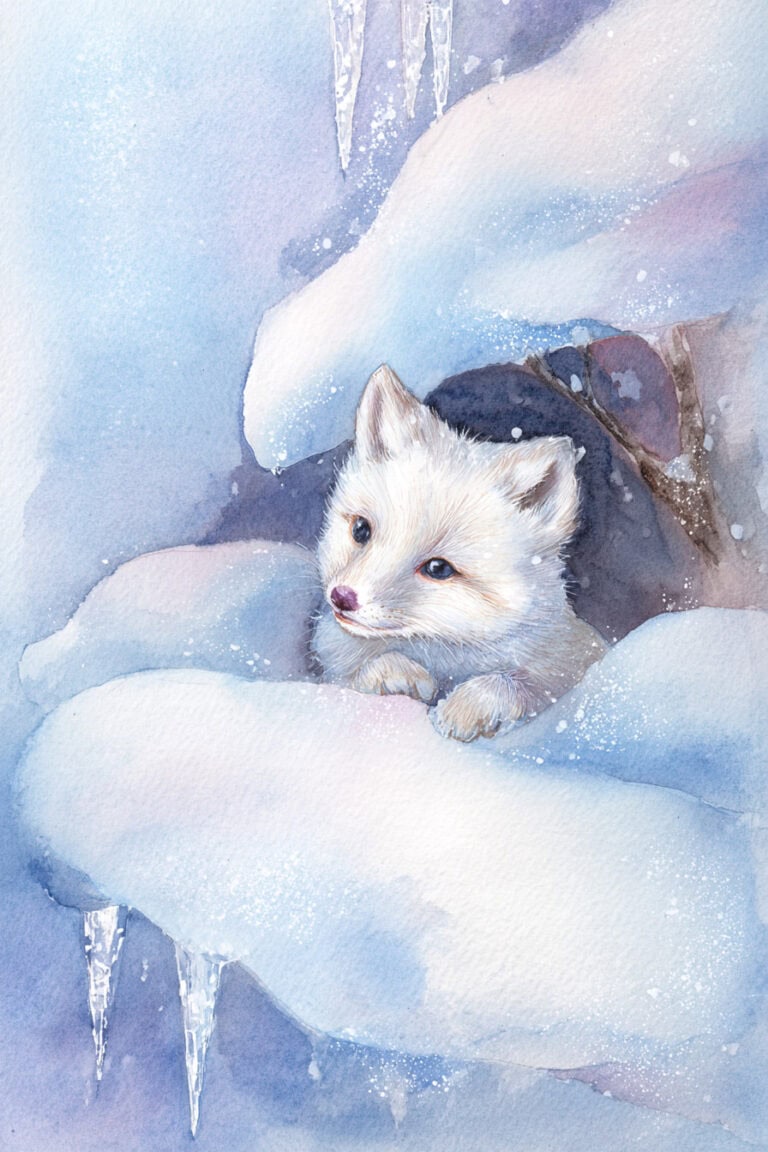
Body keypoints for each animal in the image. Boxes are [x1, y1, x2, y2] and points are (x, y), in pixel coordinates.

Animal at [312, 364, 607, 741]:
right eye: (361, 530)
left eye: (439, 568)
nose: (342, 597)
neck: (446, 661)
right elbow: (361, 672)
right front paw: (395, 675)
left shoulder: (565, 665)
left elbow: (517, 686)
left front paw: (466, 710)